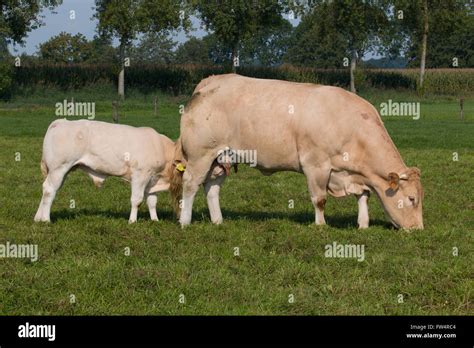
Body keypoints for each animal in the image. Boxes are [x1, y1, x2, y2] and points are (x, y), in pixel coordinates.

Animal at [33, 119, 181, 223]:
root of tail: (60, 122)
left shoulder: (152, 180)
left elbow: (152, 201)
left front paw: (155, 220)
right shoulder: (140, 175)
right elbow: (137, 200)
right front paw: (132, 221)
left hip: (61, 171)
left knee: (46, 188)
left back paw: (38, 218)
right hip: (59, 168)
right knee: (49, 190)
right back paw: (46, 219)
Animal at [173, 75, 422, 230]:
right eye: (411, 198)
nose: (418, 229)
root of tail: (210, 82)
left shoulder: (355, 174)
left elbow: (363, 196)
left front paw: (363, 224)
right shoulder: (316, 165)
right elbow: (319, 199)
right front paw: (320, 225)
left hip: (219, 157)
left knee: (212, 188)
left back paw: (218, 221)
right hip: (200, 155)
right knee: (190, 184)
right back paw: (185, 221)